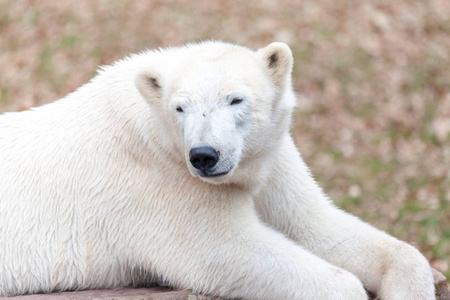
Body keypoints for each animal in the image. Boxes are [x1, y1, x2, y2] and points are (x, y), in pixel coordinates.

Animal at [0, 42, 436, 300]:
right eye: (180, 107)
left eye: (235, 99)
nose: (205, 155)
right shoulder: (162, 180)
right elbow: (225, 249)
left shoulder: (270, 159)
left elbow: (315, 225)